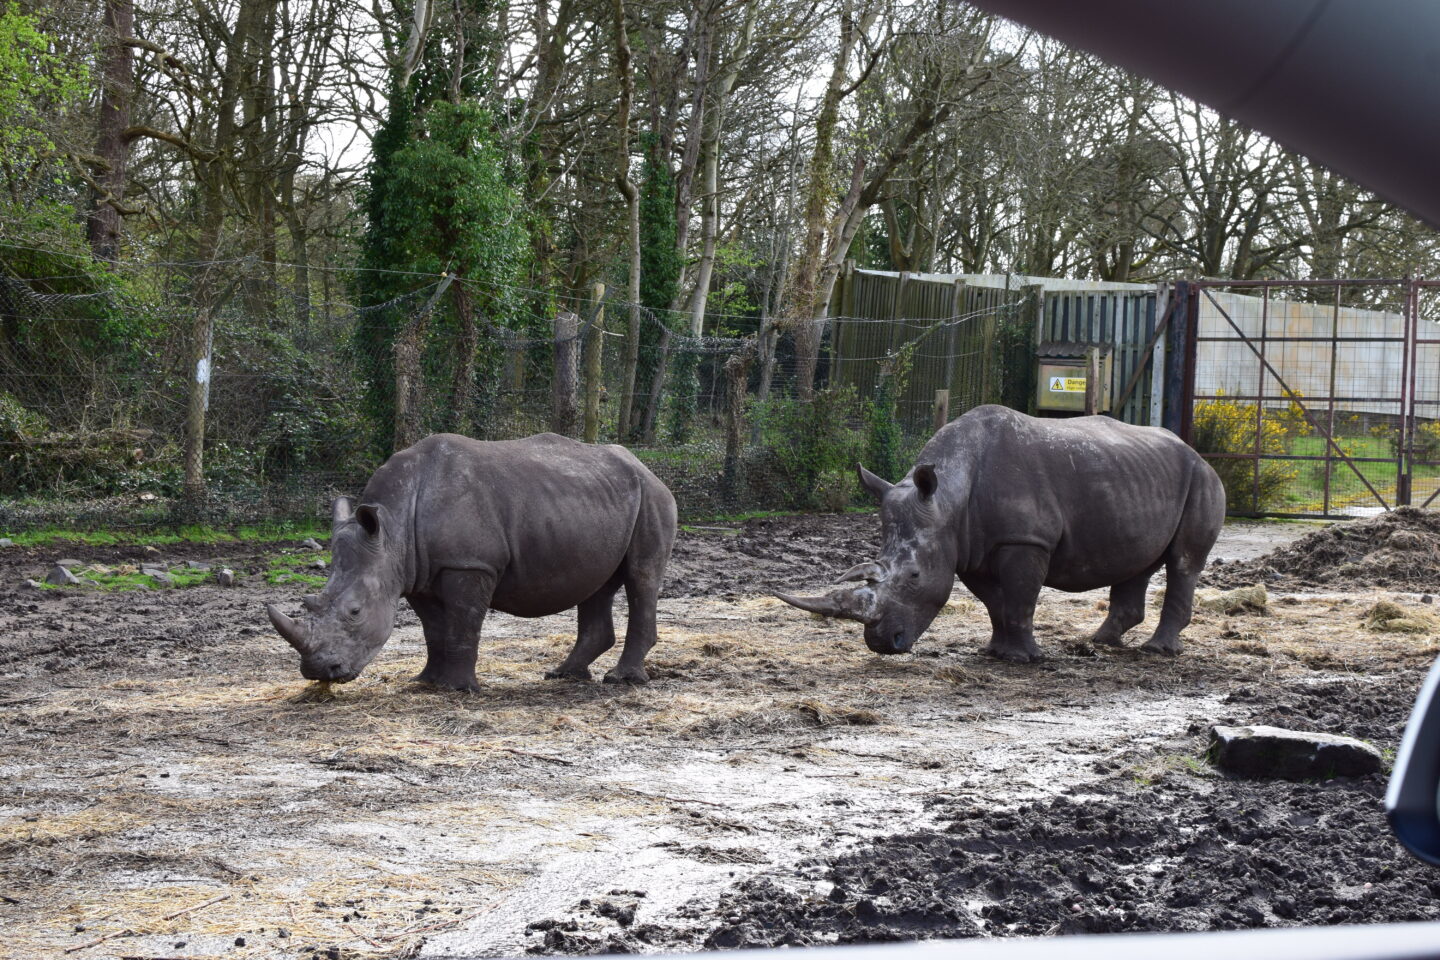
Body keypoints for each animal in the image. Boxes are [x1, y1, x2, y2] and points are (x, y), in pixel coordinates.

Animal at [266, 433, 677, 691]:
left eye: (354, 612)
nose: (319, 672)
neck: (392, 531)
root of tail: (647, 467)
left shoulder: (469, 564)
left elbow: (464, 624)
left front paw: (458, 688)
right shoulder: (417, 572)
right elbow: (434, 629)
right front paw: (426, 682)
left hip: (653, 498)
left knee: (641, 577)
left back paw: (621, 680)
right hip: (600, 503)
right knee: (598, 584)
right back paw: (563, 675)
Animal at [777, 405, 1225, 661]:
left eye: (914, 576)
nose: (883, 644)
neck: (948, 496)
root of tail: (1195, 451)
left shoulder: (1024, 540)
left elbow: (1021, 599)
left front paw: (1026, 659)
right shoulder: (967, 547)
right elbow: (997, 603)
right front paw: (996, 653)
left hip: (1202, 479)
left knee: (1184, 561)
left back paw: (1157, 652)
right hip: (1139, 479)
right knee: (1138, 562)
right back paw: (1100, 643)